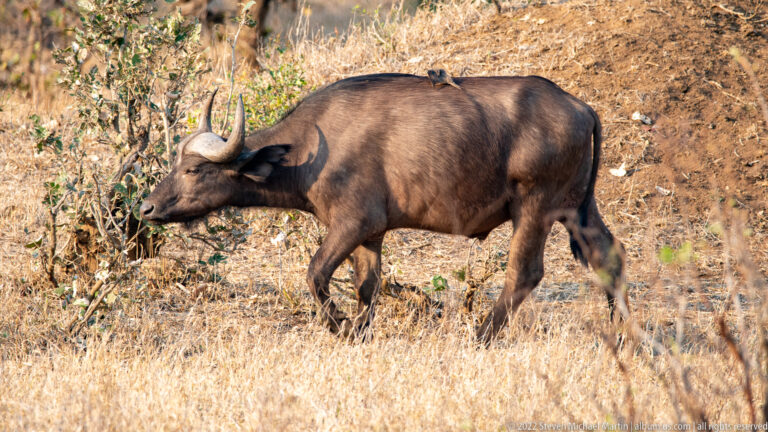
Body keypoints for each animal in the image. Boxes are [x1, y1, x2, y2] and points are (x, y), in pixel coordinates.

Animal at [140, 73, 627, 343]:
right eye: (176, 165)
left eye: (194, 170)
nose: (146, 207)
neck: (310, 149)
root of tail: (581, 107)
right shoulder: (371, 234)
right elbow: (367, 288)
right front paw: (360, 334)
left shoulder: (353, 223)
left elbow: (315, 275)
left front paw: (340, 328)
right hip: (577, 209)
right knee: (610, 256)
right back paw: (624, 337)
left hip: (536, 209)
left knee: (524, 274)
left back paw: (480, 338)